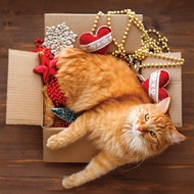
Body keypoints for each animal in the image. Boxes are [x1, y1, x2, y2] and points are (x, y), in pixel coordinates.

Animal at [45, 48, 185, 189]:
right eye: (147, 117)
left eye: (153, 134)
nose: (139, 127)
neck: (125, 136)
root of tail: (76, 50)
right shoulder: (90, 118)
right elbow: (71, 134)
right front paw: (53, 143)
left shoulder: (108, 160)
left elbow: (88, 174)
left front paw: (68, 183)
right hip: (71, 95)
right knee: (47, 89)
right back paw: (48, 117)